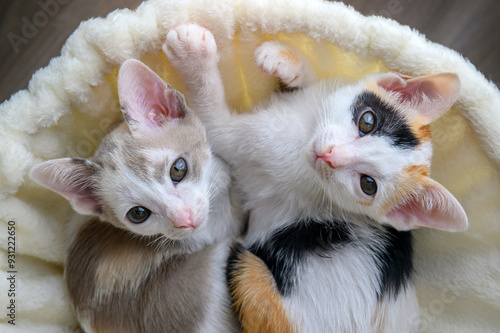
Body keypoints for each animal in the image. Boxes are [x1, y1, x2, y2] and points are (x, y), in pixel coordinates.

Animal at [164, 24, 468, 332]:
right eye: (367, 121)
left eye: (368, 184)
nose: (330, 155)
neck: (306, 132)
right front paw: (285, 63)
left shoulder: (241, 143)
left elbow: (211, 120)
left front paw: (193, 55)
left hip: (247, 270)